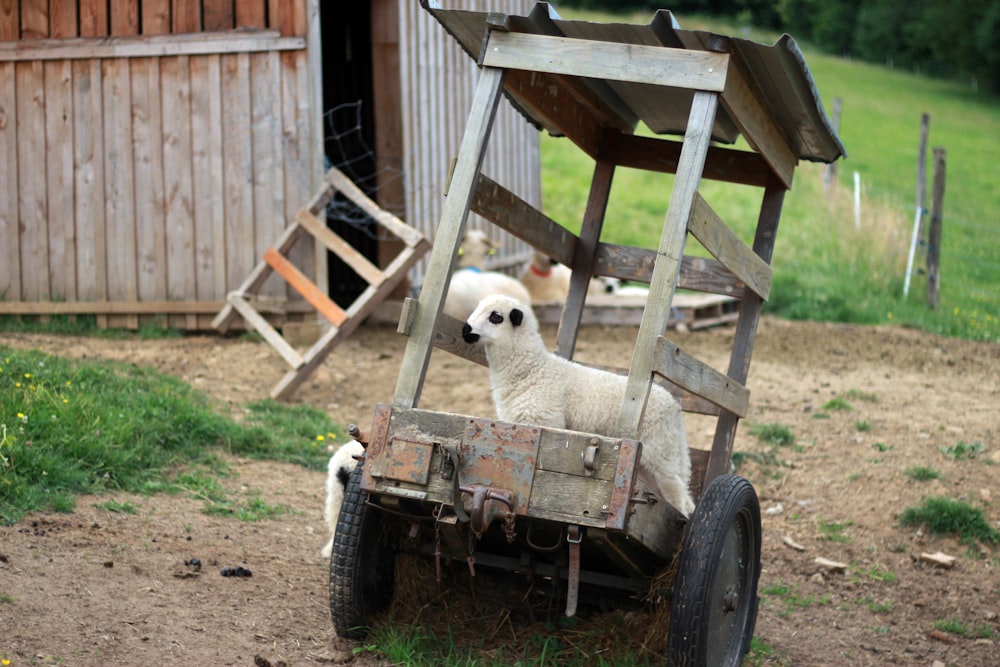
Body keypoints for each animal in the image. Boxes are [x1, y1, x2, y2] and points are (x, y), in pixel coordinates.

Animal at [462, 294, 692, 516]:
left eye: (496, 317)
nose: (465, 330)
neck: (533, 370)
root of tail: (674, 407)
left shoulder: (545, 422)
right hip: (652, 461)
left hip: (660, 452)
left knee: (679, 497)